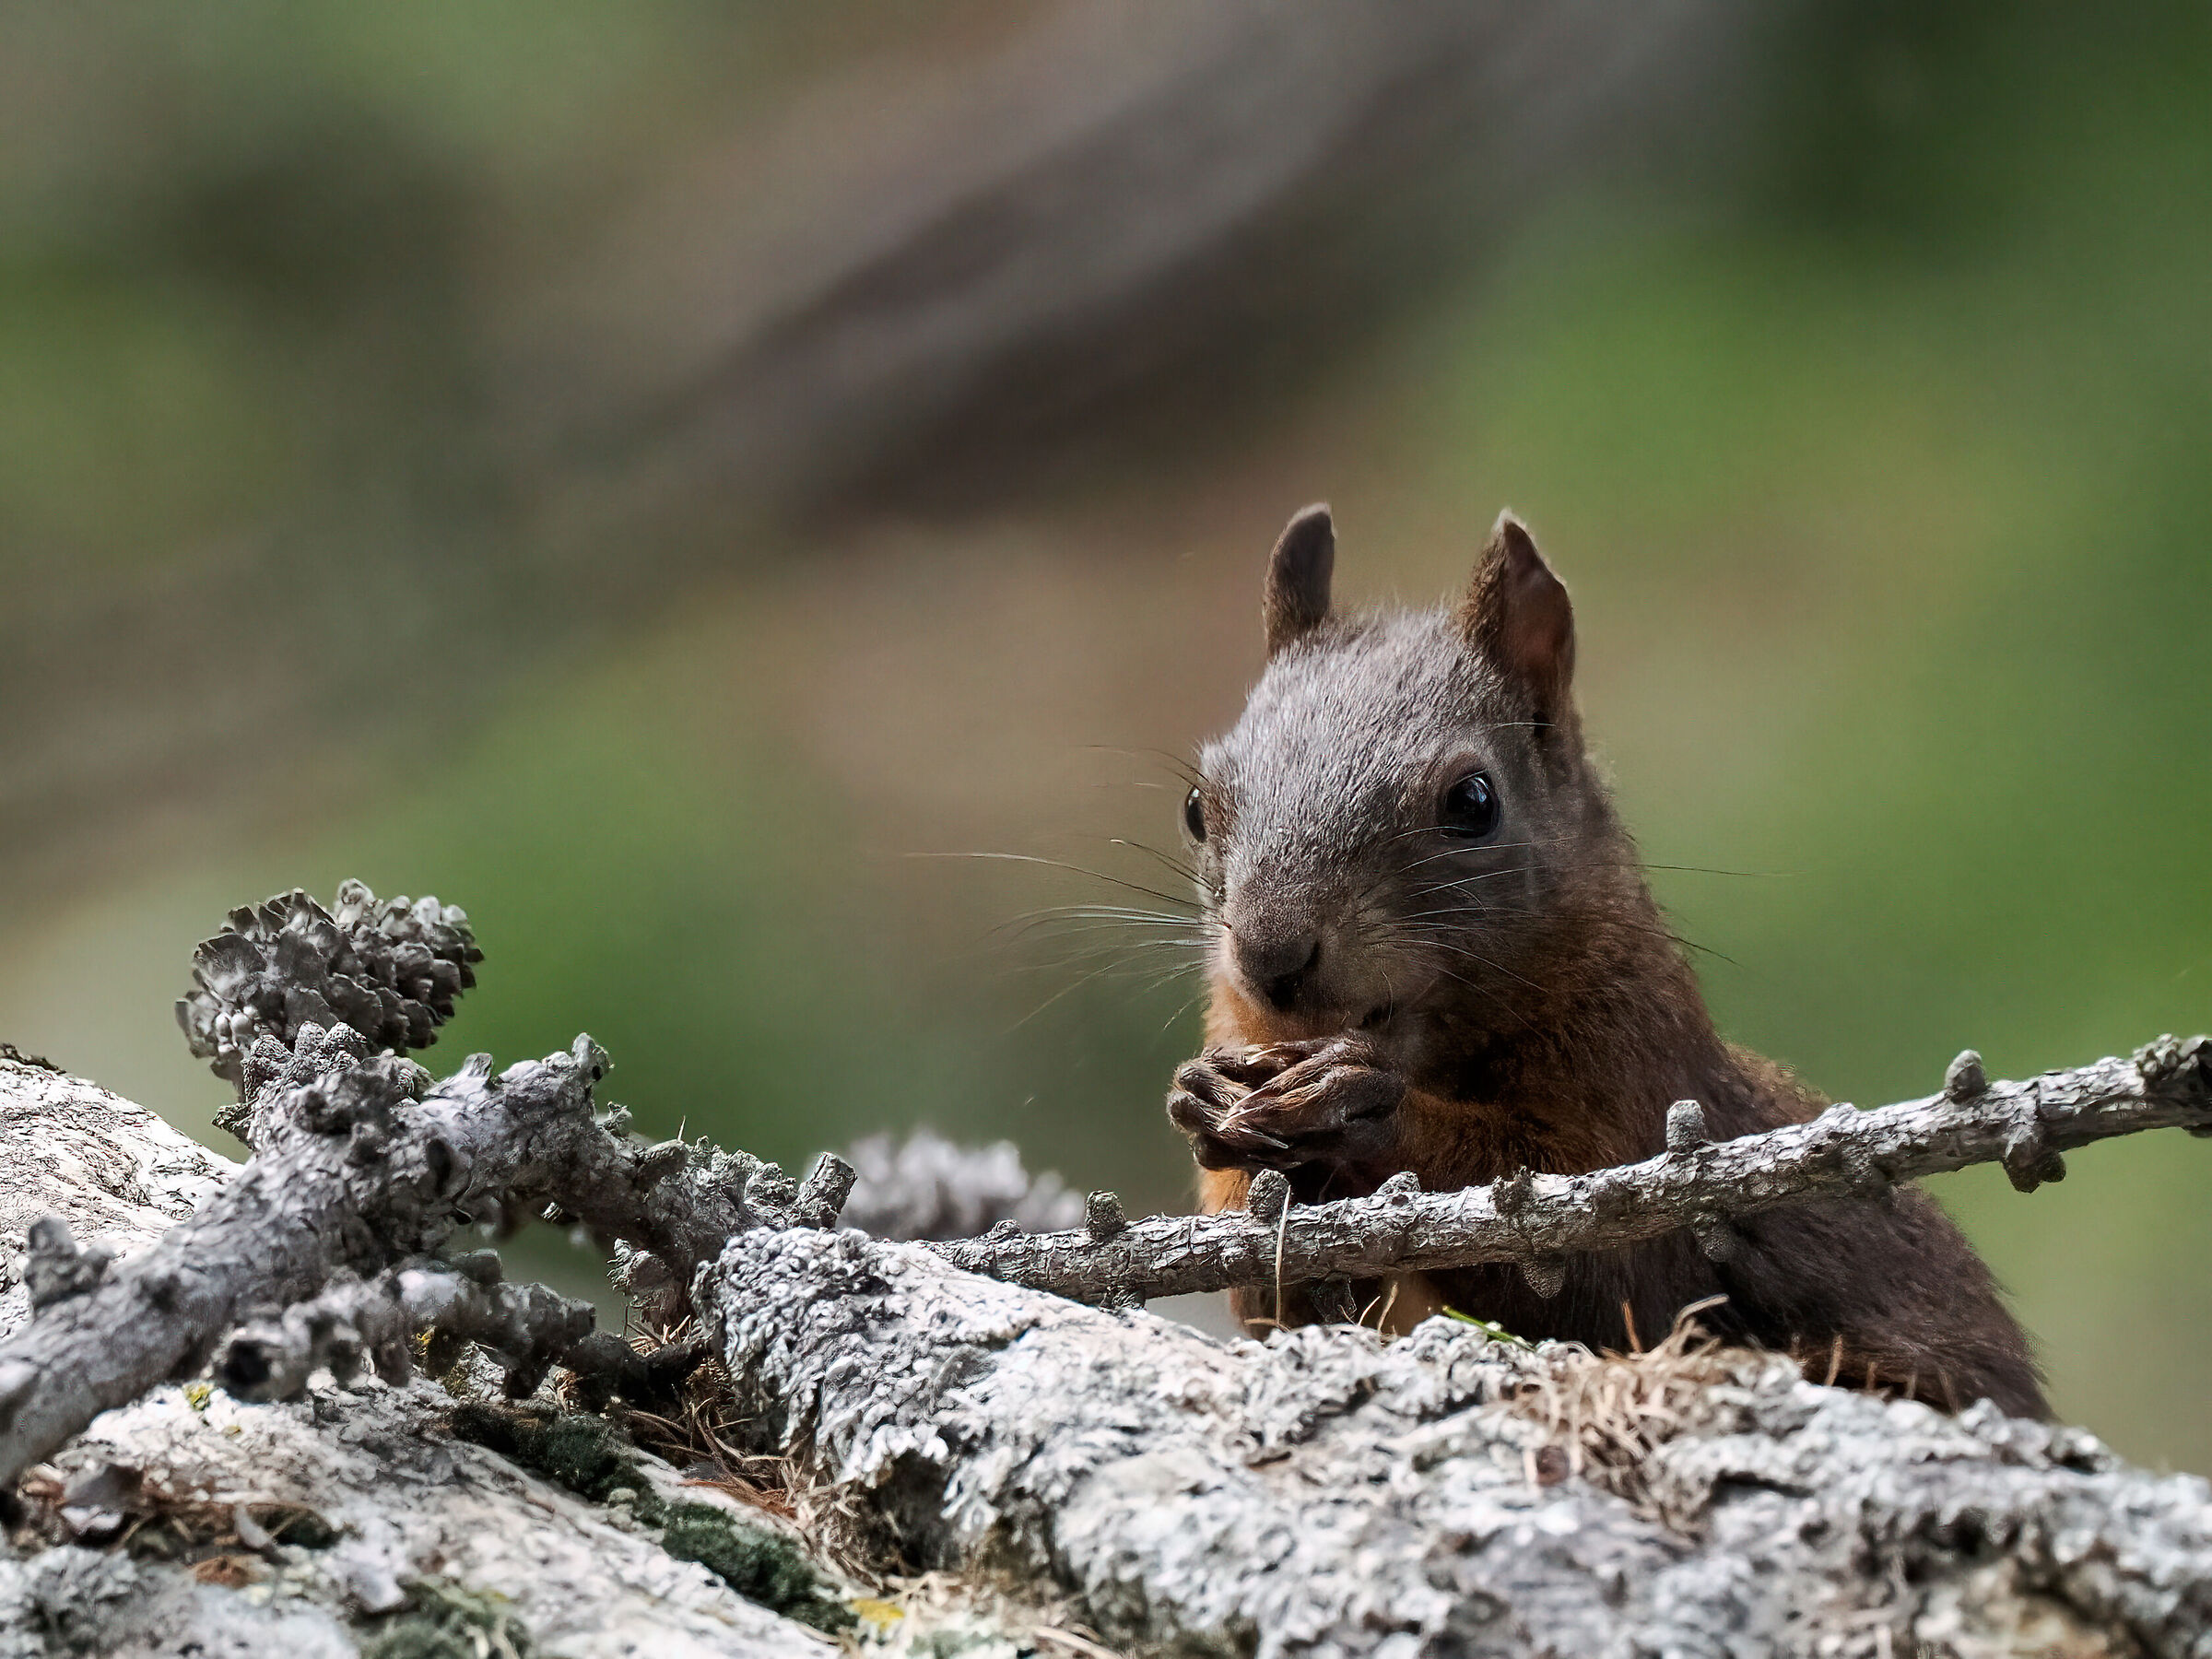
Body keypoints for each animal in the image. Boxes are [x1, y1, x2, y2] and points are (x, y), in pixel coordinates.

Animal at [1165, 504, 2044, 1418]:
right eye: (1196, 806)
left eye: (1473, 801)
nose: (1272, 955)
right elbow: (1276, 1304)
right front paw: (1202, 1097)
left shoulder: (1640, 1083)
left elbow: (1597, 1271)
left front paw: (1355, 1103)